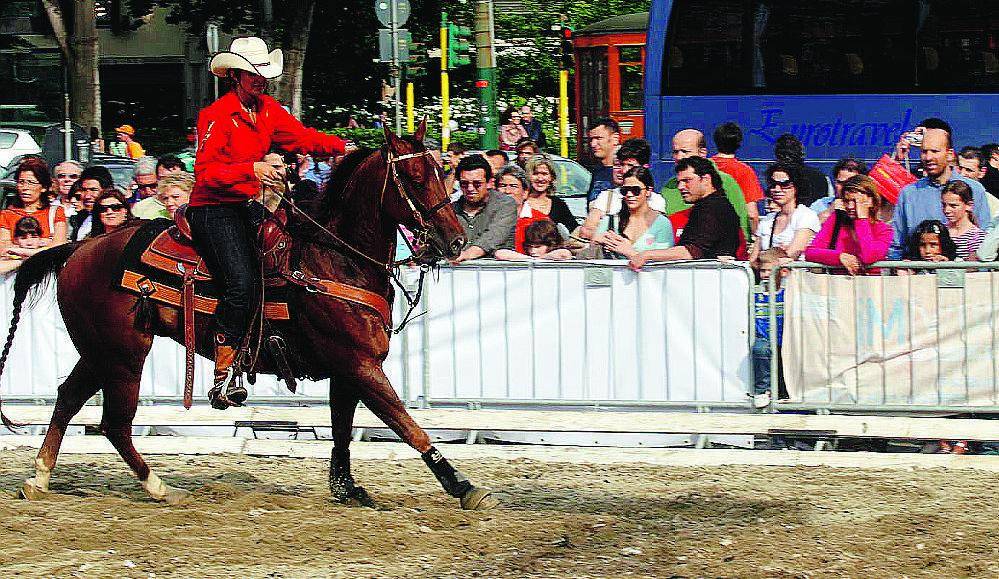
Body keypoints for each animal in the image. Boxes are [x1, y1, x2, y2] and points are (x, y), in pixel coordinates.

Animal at [0, 121, 500, 508]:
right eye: (414, 177)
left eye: (441, 171)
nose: (456, 241)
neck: (334, 258)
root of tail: (77, 249)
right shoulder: (359, 364)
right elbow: (408, 427)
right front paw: (463, 486)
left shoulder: (349, 369)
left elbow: (342, 429)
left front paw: (346, 488)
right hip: (124, 355)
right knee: (114, 423)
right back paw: (159, 487)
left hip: (99, 352)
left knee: (68, 399)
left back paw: (39, 478)